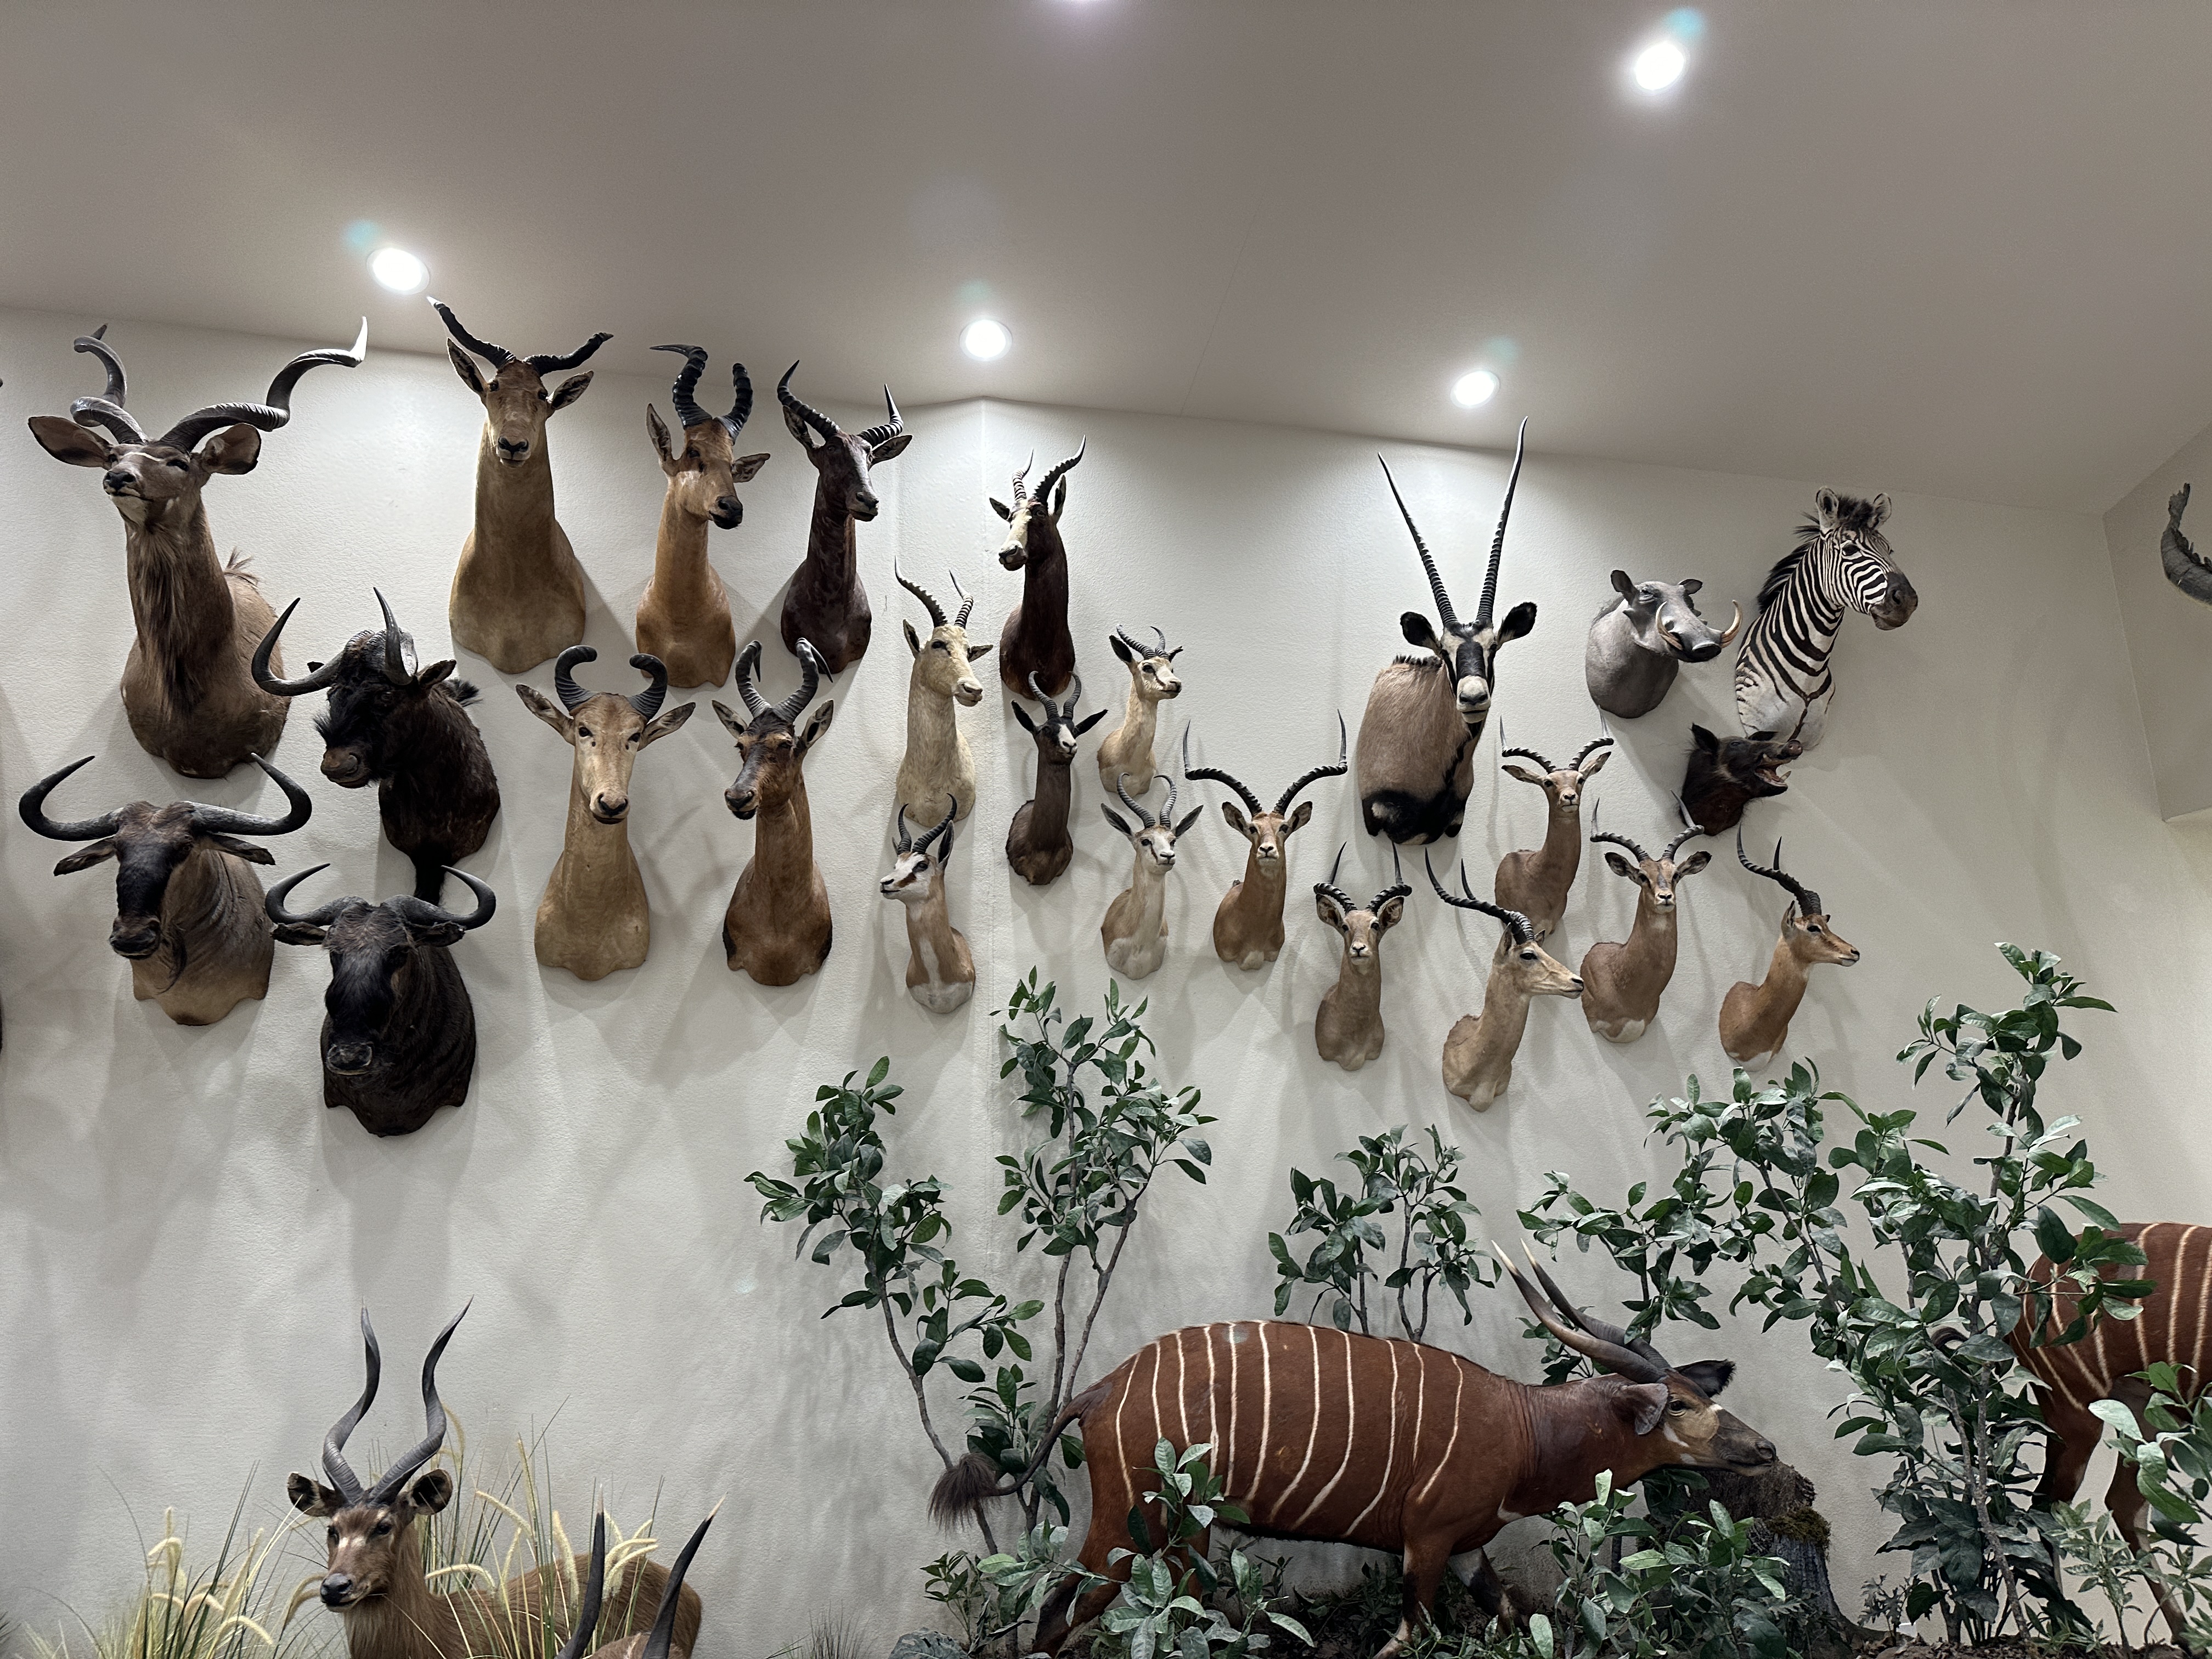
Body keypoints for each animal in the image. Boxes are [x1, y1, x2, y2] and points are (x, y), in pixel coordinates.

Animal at [930, 1249, 1775, 1657]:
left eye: (1699, 1392)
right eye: (1682, 1406)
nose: (1764, 1448)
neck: (1526, 1426)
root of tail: (1099, 1391)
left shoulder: (1466, 1549)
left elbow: (1507, 1618)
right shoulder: (1427, 1540)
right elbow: (1411, 1636)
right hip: (1143, 1525)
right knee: (1059, 1615)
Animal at [2014, 1220, 2212, 1641]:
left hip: (2150, 1416)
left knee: (2123, 1503)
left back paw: (2187, 1638)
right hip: (2077, 1414)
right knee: (2048, 1504)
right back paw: (2067, 1630)